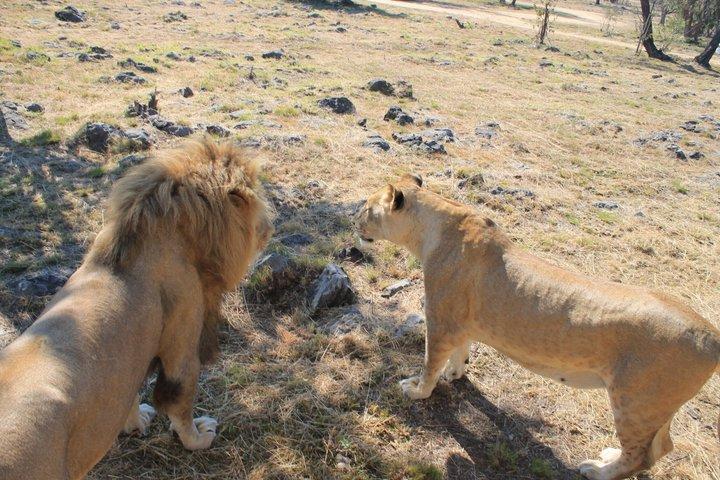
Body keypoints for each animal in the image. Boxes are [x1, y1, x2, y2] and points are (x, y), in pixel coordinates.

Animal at [0, 139, 274, 479]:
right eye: (259, 207)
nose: (271, 227)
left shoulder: (135, 361)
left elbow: (130, 396)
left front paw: (134, 423)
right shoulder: (183, 342)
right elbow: (179, 403)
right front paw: (197, 437)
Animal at [355, 173, 720, 480]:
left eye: (368, 207)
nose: (354, 219)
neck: (434, 227)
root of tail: (712, 335)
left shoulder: (441, 320)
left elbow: (431, 361)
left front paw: (418, 390)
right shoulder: (460, 323)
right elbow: (461, 352)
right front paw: (454, 375)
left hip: (636, 401)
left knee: (641, 455)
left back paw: (597, 470)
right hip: (656, 408)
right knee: (662, 447)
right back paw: (608, 457)